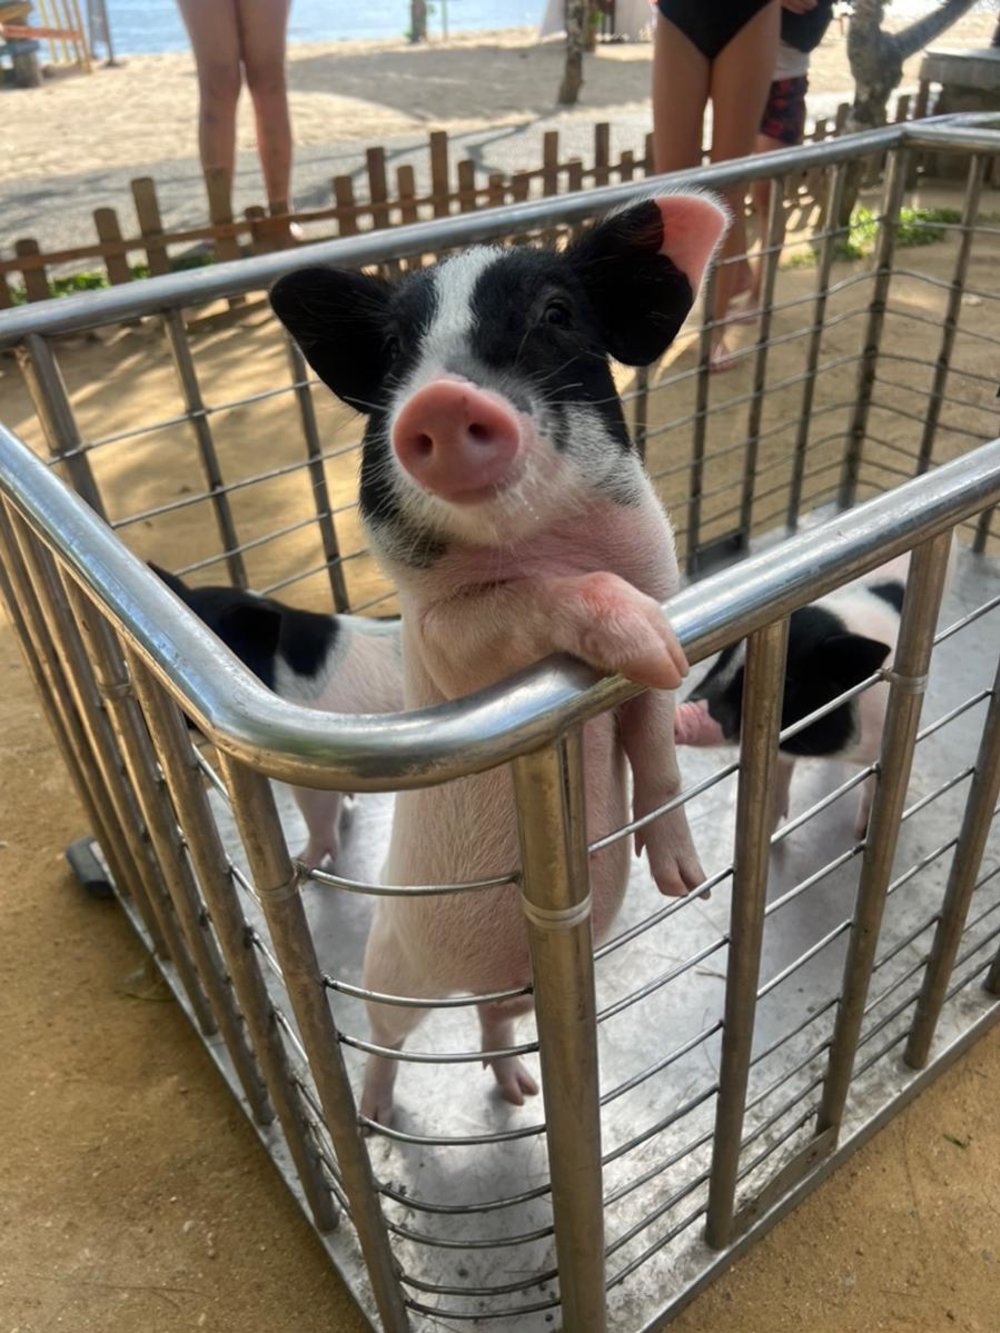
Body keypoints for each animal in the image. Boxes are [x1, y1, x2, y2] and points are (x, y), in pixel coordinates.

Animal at [270, 193, 727, 1124]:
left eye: (555, 314)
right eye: (397, 351)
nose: (442, 399)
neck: (536, 540)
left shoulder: (661, 581)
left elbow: (655, 746)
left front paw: (686, 881)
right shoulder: (448, 643)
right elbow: (527, 605)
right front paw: (646, 640)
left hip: (512, 993)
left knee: (492, 1019)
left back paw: (520, 1092)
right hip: (392, 966)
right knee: (387, 1040)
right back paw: (377, 1115)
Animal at [675, 553, 913, 839]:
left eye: (788, 682)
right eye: (724, 656)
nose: (683, 715)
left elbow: (878, 783)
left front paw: (861, 835)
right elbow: (774, 792)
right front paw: (771, 830)